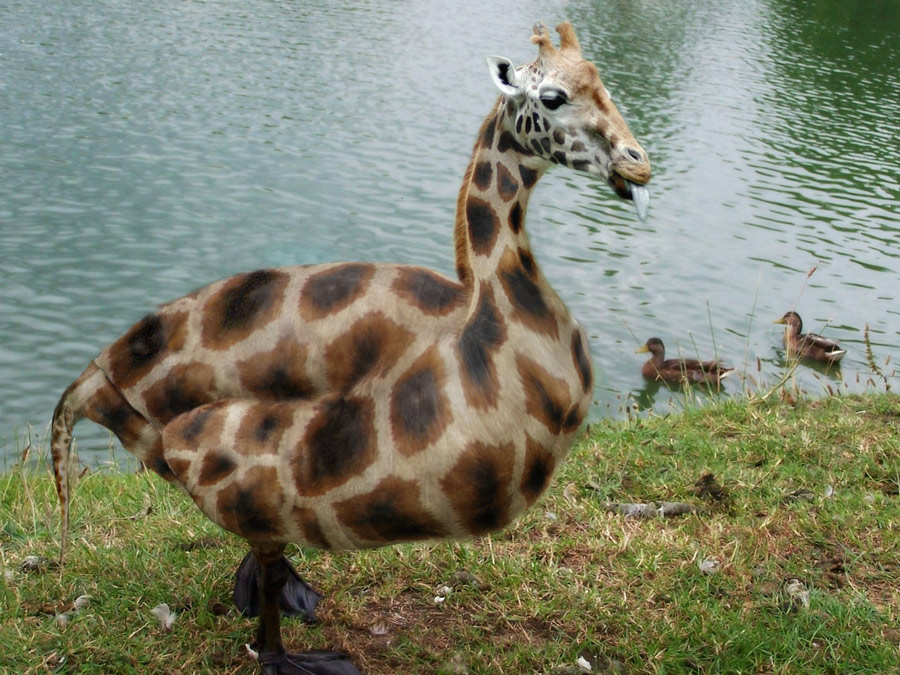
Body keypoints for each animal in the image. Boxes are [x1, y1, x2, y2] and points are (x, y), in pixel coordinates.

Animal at [50, 22, 650, 674]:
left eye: (602, 82)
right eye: (553, 98)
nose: (639, 164)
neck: (484, 326)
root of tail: (99, 375)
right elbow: (266, 574)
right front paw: (282, 657)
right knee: (265, 562)